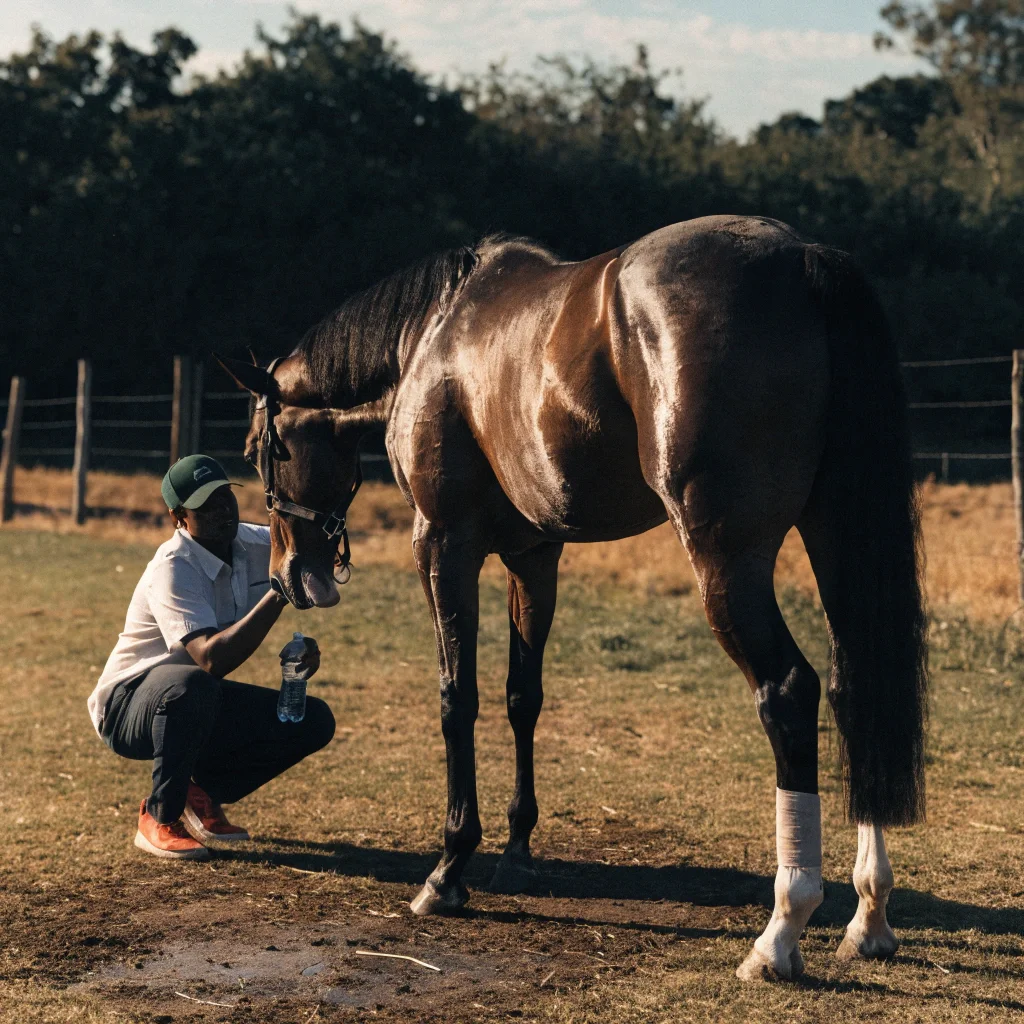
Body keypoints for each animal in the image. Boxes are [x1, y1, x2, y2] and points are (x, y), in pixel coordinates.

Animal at [218, 215, 927, 981]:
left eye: (261, 449)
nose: (288, 575)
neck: (433, 337)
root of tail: (801, 258)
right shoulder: (534, 558)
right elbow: (521, 696)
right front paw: (517, 852)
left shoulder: (442, 544)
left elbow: (457, 697)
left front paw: (449, 868)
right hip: (834, 534)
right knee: (855, 691)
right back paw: (869, 915)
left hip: (726, 562)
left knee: (789, 692)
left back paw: (781, 932)